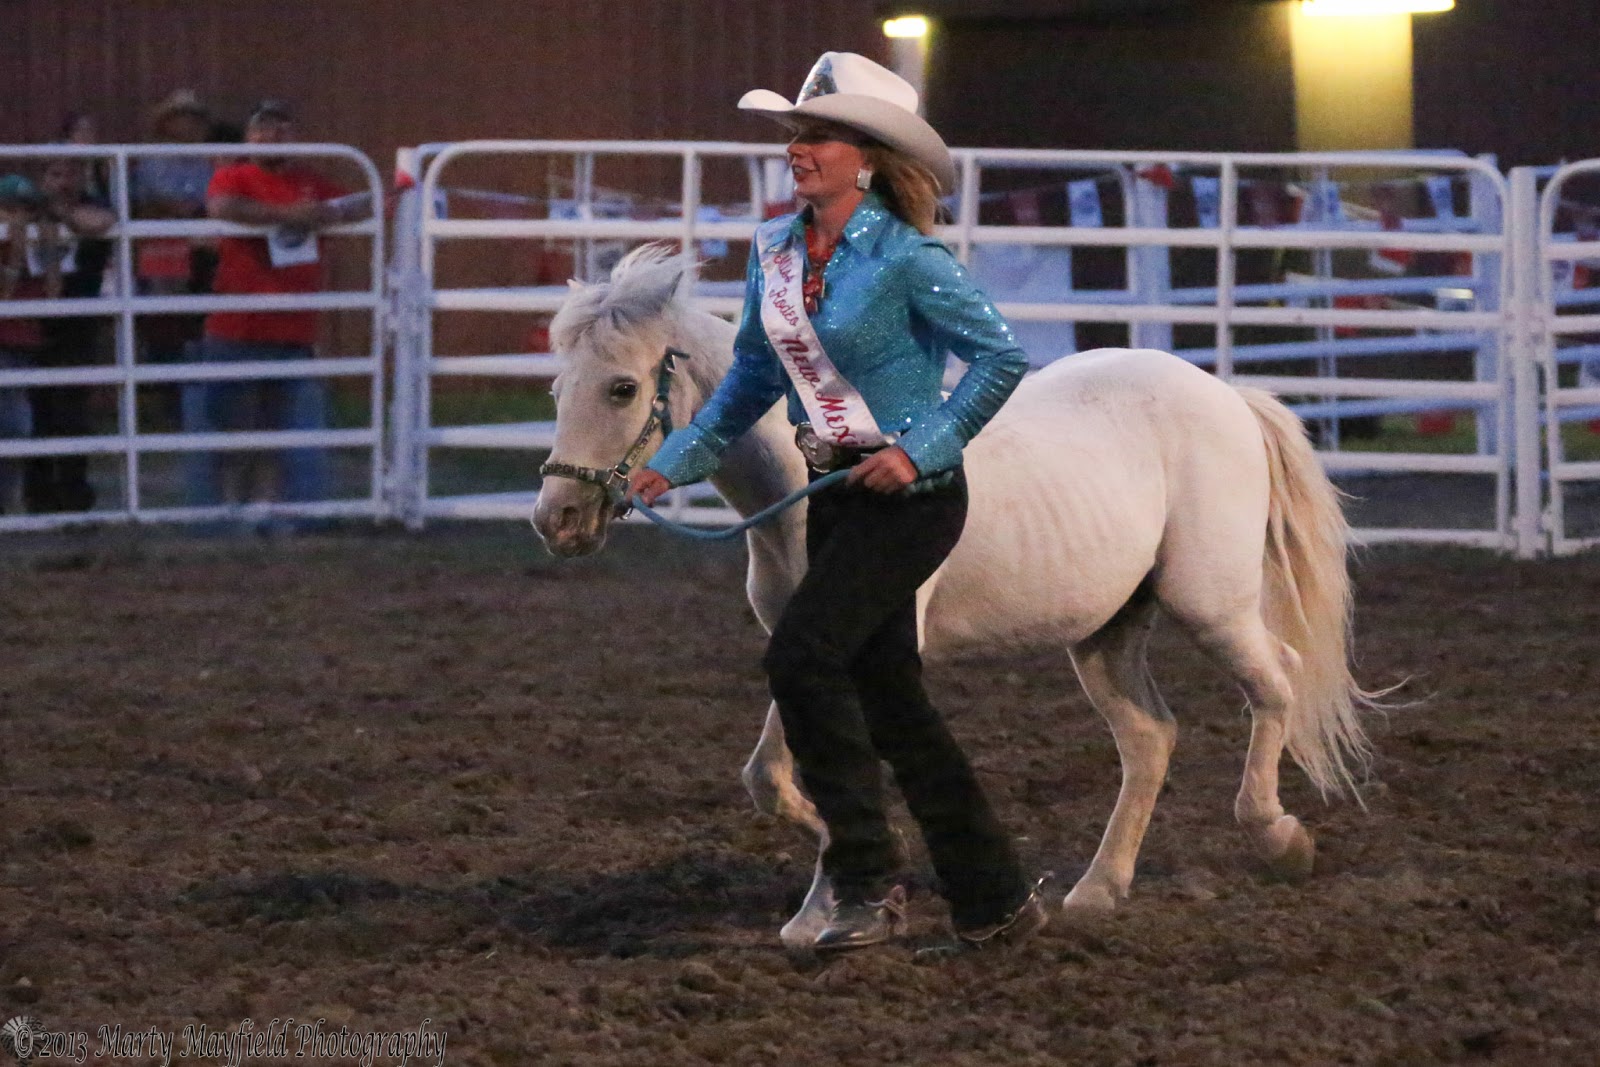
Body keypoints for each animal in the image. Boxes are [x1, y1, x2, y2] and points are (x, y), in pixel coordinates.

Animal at [531, 244, 1378, 947]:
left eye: (622, 387)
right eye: (556, 387)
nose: (556, 519)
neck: (809, 494)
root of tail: (1228, 396)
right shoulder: (803, 645)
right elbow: (771, 774)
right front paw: (838, 881)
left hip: (1210, 605)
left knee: (1278, 679)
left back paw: (1278, 837)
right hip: (1106, 632)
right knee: (1150, 738)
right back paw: (1097, 891)